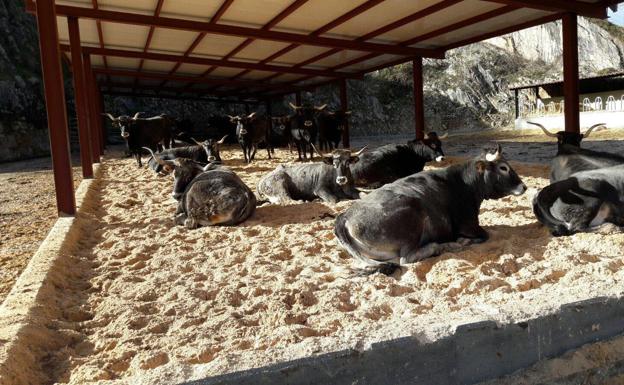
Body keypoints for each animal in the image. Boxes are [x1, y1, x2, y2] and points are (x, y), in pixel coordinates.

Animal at [334, 142, 524, 274]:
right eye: (503, 167)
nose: (524, 186)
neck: (465, 183)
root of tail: (344, 217)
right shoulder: (468, 225)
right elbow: (484, 235)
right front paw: (462, 241)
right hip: (412, 215)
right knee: (406, 258)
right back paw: (444, 246)